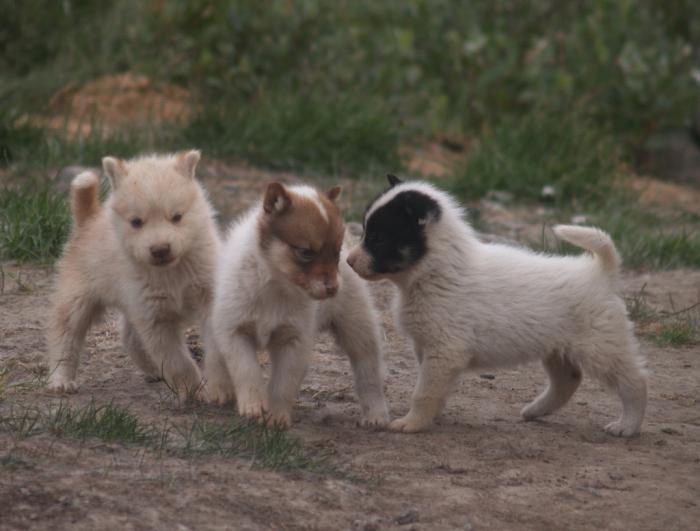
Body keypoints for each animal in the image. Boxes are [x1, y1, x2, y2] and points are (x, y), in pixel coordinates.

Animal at [45, 150, 220, 400]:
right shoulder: (155, 319)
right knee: (65, 338)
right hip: (77, 299)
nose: (160, 250)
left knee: (130, 339)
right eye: (136, 222)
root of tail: (88, 219)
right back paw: (61, 380)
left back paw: (155, 371)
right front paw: (195, 390)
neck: (172, 272)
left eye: (177, 217)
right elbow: (178, 362)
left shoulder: (205, 295)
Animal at [202, 183, 392, 428]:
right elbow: (247, 371)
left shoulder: (294, 340)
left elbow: (284, 383)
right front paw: (253, 406)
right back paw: (219, 389)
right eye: (306, 252)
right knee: (215, 353)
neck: (275, 285)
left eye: (336, 252)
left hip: (357, 324)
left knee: (368, 368)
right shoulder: (235, 331)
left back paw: (376, 413)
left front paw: (277, 416)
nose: (333, 289)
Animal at [348, 177, 648, 438]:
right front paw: (433, 415)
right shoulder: (428, 349)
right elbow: (434, 388)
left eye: (377, 238)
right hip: (557, 348)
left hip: (603, 348)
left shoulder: (444, 352)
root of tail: (602, 271)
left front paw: (412, 423)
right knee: (568, 380)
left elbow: (424, 392)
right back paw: (535, 411)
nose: (349, 261)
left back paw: (628, 425)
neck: (437, 270)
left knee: (634, 382)